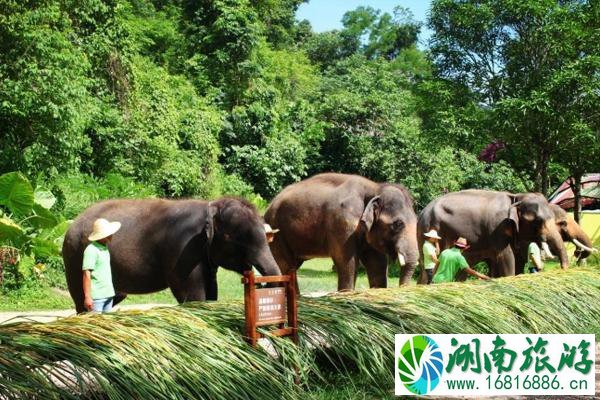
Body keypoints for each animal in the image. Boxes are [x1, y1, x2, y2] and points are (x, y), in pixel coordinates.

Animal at [63, 197, 282, 312]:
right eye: (232, 238)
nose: (260, 281)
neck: (210, 206)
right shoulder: (183, 251)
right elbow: (193, 295)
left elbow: (212, 292)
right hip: (75, 258)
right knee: (83, 302)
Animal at [262, 172, 418, 290]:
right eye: (397, 224)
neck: (375, 187)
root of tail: (269, 206)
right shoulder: (342, 224)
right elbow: (347, 262)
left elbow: (377, 263)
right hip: (277, 231)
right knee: (286, 266)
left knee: (292, 267)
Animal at [418, 189, 568, 280]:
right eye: (538, 221)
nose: (563, 269)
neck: (516, 197)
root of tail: (422, 211)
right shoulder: (498, 227)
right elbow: (506, 256)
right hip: (433, 228)